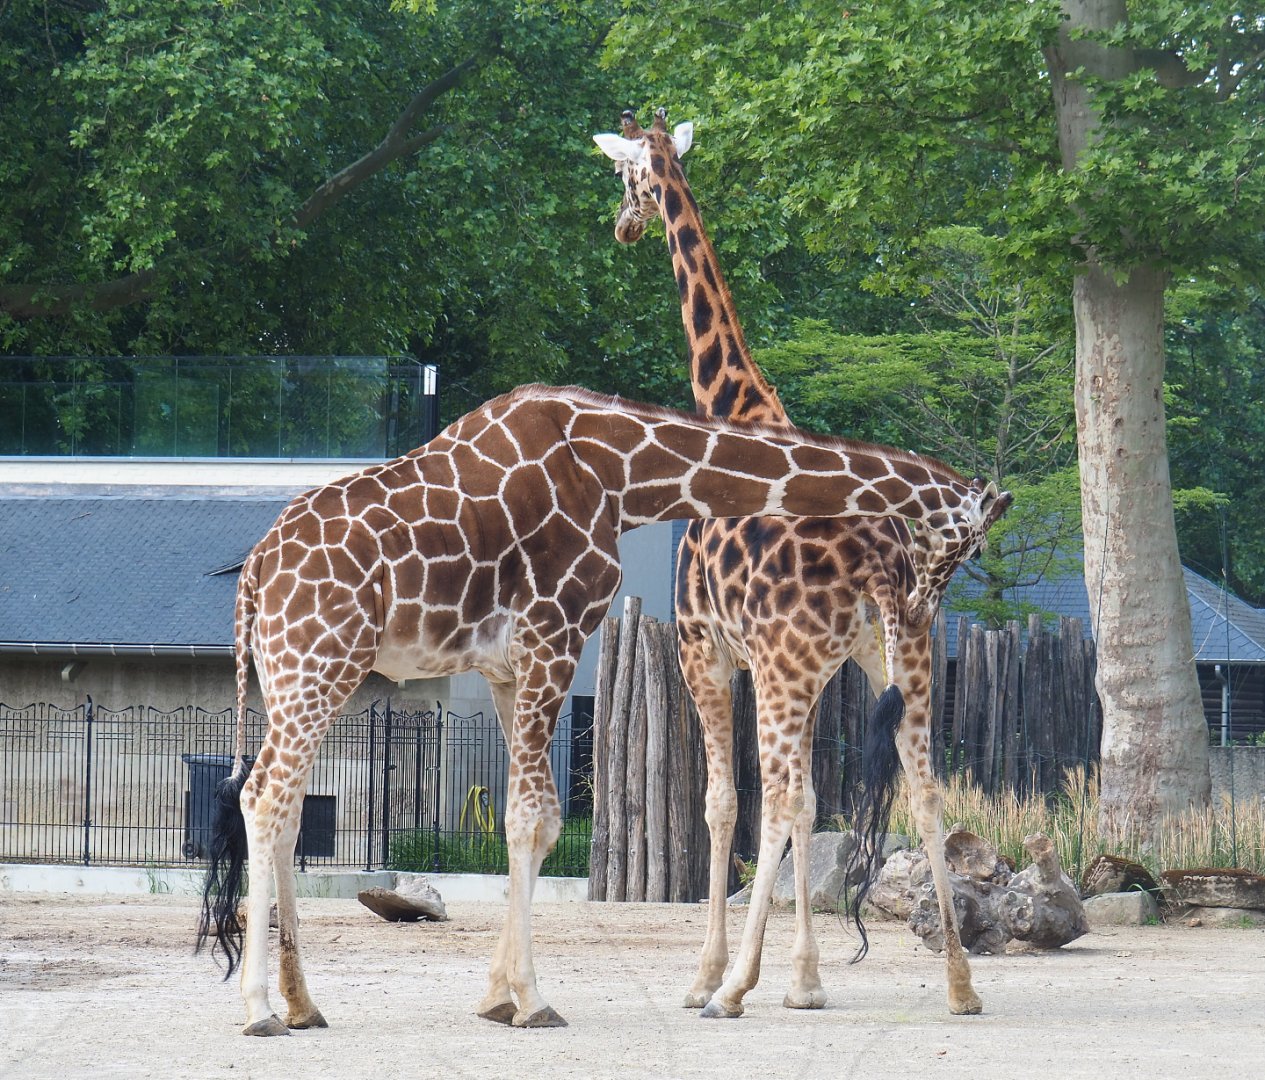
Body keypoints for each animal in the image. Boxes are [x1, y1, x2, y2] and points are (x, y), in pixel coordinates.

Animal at [195, 382, 1005, 1036]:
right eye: (964, 540)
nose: (918, 611)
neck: (623, 474)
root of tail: (254, 574)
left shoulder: (507, 664)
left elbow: (537, 818)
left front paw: (498, 997)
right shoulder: (554, 633)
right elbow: (534, 818)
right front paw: (531, 1001)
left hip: (299, 674)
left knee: (285, 806)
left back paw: (303, 1005)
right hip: (318, 663)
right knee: (265, 797)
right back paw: (260, 1009)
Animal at [595, 109, 1011, 1017]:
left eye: (624, 176)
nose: (622, 226)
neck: (732, 403)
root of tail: (882, 561)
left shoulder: (709, 651)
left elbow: (727, 804)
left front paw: (713, 975)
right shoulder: (811, 669)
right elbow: (816, 800)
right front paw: (807, 980)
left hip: (790, 667)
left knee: (776, 795)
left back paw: (731, 988)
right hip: (905, 656)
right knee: (924, 786)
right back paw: (960, 985)